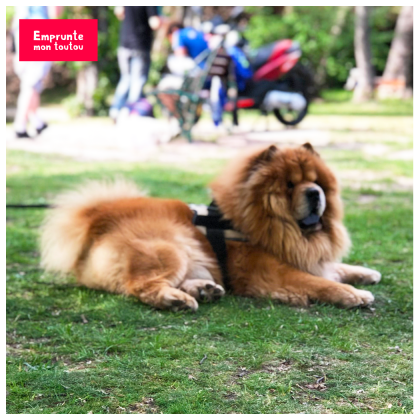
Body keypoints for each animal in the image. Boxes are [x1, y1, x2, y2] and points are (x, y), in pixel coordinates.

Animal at [41, 143, 380, 310]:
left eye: (317, 181)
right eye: (289, 185)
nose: (315, 193)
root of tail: (97, 218)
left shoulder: (308, 257)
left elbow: (334, 268)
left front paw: (366, 273)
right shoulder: (274, 273)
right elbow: (318, 282)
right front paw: (354, 294)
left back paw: (205, 290)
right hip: (169, 249)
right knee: (142, 286)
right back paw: (177, 301)